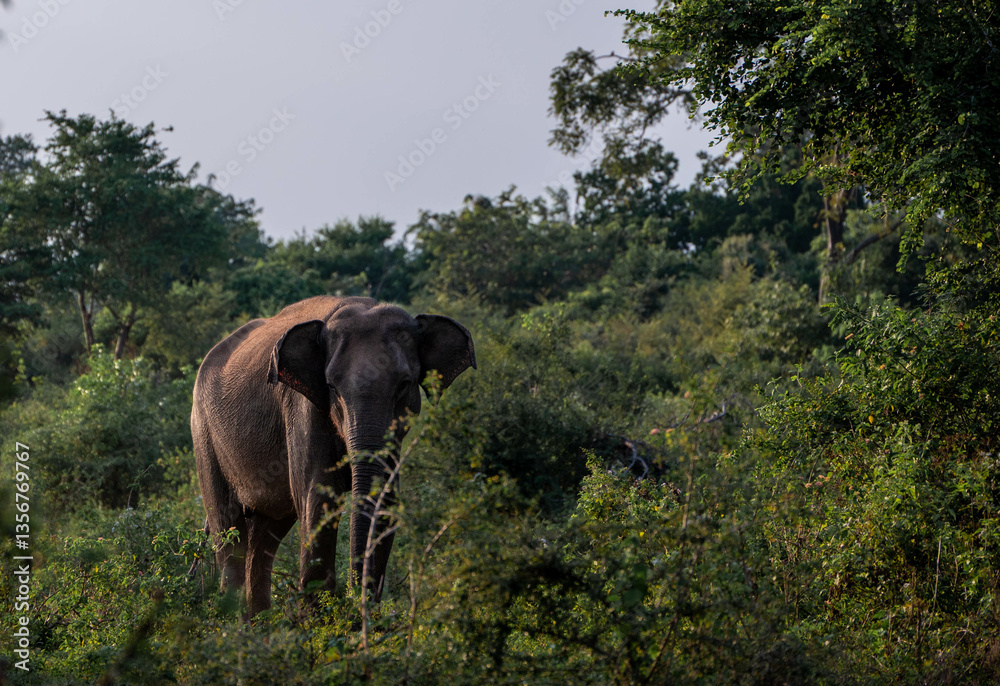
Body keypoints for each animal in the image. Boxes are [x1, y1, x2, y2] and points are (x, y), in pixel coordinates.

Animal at [190, 296, 475, 616]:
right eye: (331, 387)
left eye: (404, 383)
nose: (355, 599)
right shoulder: (303, 409)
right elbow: (318, 498)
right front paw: (320, 621)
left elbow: (386, 501)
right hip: (204, 435)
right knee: (228, 529)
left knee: (266, 534)